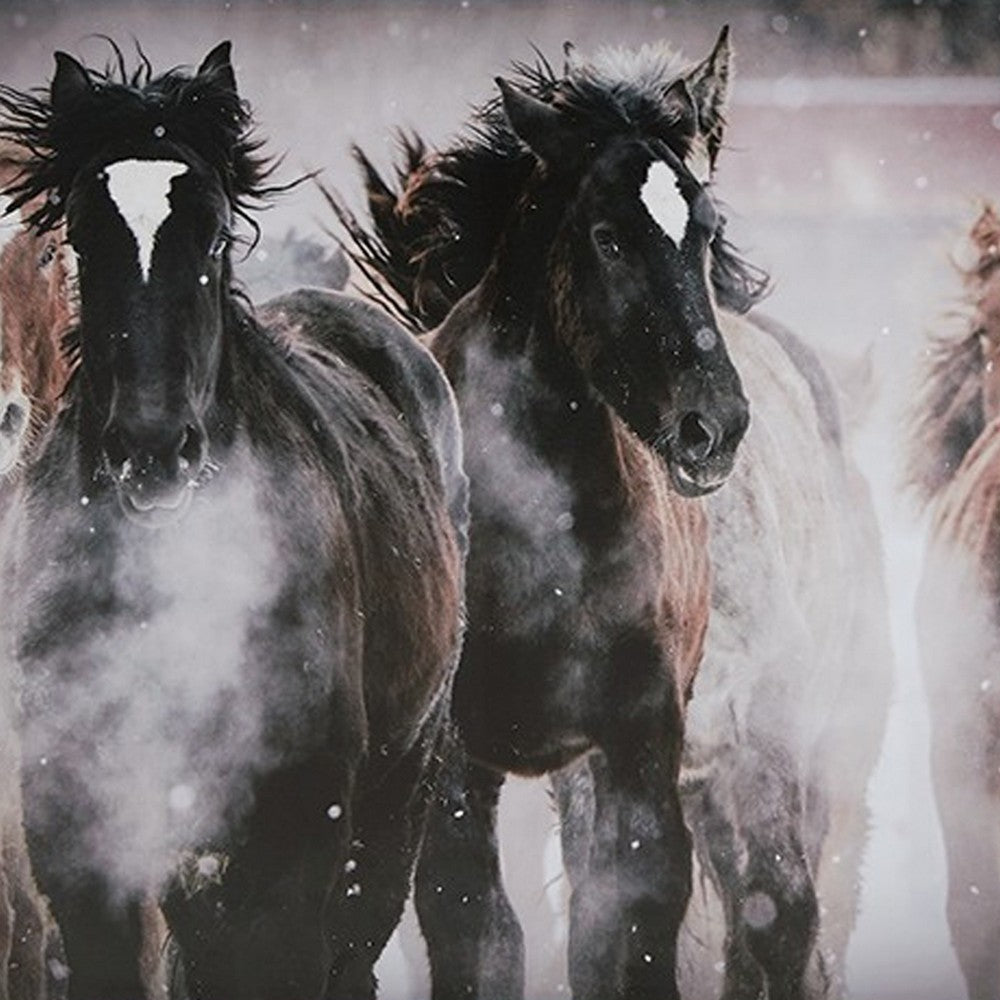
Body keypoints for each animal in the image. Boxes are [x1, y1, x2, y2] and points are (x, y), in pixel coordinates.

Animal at [0, 41, 467, 1000]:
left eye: (213, 233)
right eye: (80, 239)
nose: (152, 448)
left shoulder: (291, 834)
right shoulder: (81, 836)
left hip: (397, 794)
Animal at [334, 30, 891, 1000]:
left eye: (705, 230)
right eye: (605, 236)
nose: (712, 423)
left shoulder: (672, 736)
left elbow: (673, 921)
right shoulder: (466, 761)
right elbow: (483, 927)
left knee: (779, 913)